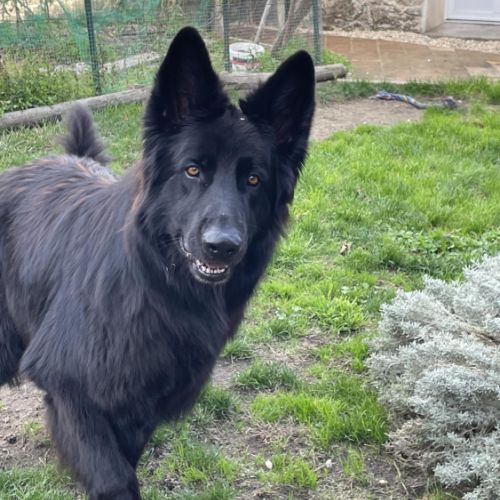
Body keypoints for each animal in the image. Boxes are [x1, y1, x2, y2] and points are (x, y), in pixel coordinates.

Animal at [0, 27, 315, 499]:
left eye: (253, 179)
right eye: (192, 170)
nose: (222, 246)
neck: (155, 288)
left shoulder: (139, 407)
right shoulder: (72, 394)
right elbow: (114, 479)